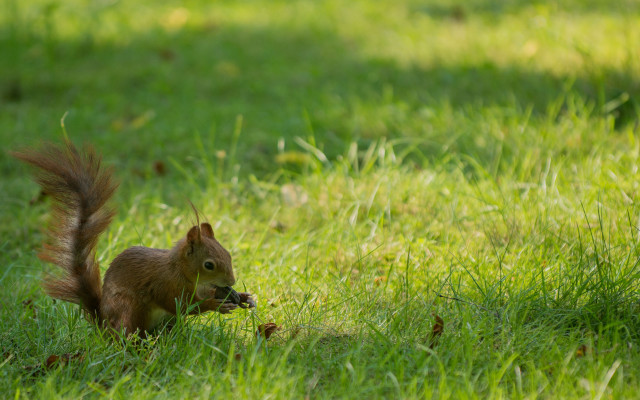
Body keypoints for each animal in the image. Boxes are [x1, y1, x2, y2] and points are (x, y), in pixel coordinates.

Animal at [12, 140, 254, 338]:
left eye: (228, 255)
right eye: (209, 265)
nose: (232, 281)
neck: (182, 270)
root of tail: (104, 324)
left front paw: (242, 296)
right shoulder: (165, 284)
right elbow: (182, 305)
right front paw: (217, 304)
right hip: (130, 309)